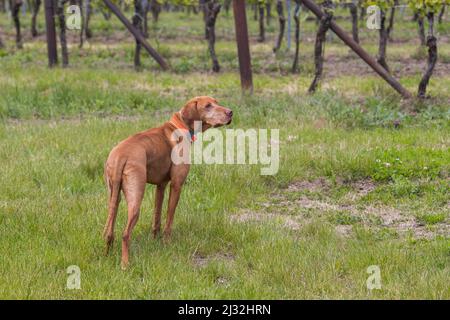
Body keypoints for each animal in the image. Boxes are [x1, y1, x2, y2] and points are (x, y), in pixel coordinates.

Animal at [104, 96, 234, 268]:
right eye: (208, 106)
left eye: (217, 102)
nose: (230, 112)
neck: (179, 125)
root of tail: (121, 156)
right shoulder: (176, 185)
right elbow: (169, 218)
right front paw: (166, 243)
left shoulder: (161, 186)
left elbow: (157, 218)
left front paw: (155, 241)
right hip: (136, 198)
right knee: (125, 235)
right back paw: (125, 264)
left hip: (114, 197)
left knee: (108, 232)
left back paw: (106, 255)